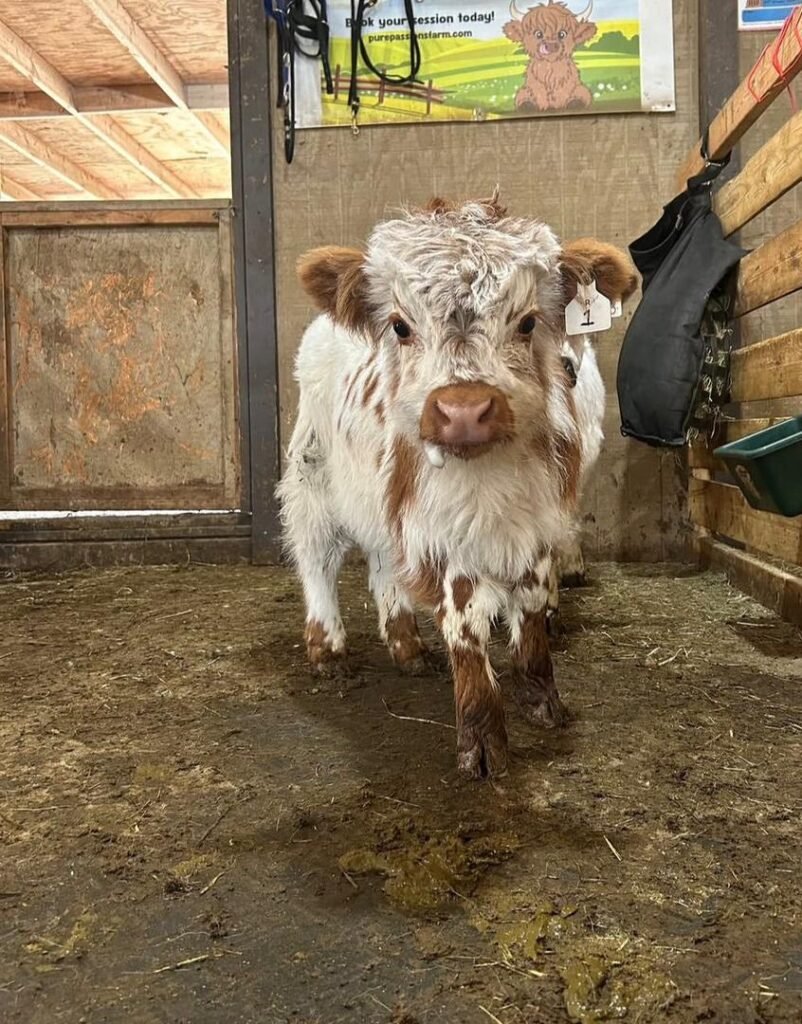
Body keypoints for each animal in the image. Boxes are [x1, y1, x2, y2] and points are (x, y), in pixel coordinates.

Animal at [278, 195, 637, 780]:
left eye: (529, 321)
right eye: (400, 327)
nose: (463, 411)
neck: (491, 484)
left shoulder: (541, 517)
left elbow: (532, 605)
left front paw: (542, 698)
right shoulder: (438, 529)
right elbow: (466, 622)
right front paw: (483, 737)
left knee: (383, 565)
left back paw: (406, 647)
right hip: (312, 475)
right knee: (317, 558)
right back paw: (327, 650)